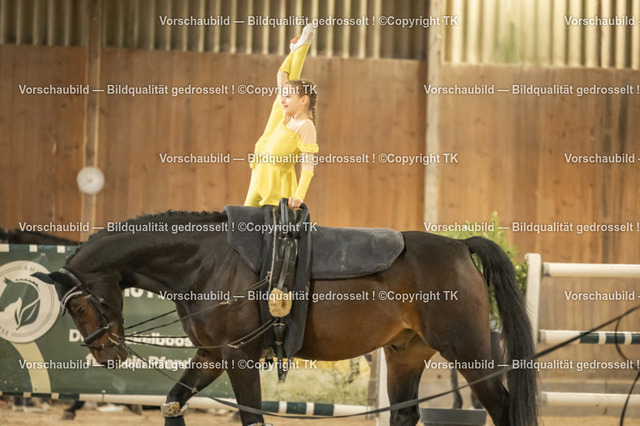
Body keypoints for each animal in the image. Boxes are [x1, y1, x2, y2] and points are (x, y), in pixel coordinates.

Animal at [33, 210, 537, 426]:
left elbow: (252, 419)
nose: (106, 355)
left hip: (469, 352)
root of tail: (459, 245)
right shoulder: (211, 355)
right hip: (405, 355)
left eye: (79, 306)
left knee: (503, 407)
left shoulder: (238, 357)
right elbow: (173, 403)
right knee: (405, 414)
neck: (207, 260)